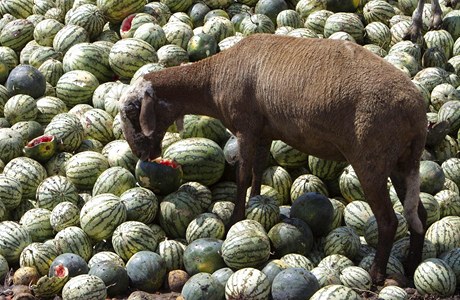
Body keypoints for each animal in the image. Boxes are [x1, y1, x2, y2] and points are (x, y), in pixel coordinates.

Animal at [119, 33, 428, 284]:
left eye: (133, 111)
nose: (141, 155)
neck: (212, 81)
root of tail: (417, 111)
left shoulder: (245, 127)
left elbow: (243, 175)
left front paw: (235, 219)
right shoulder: (264, 131)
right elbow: (258, 170)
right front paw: (257, 204)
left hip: (370, 158)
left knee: (388, 220)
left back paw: (377, 274)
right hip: (401, 162)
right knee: (419, 214)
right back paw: (412, 265)